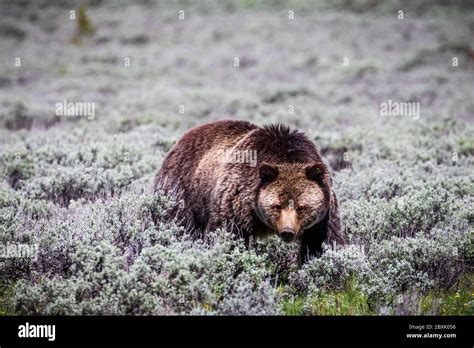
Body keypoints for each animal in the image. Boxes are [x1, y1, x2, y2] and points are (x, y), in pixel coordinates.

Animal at [155, 119, 344, 264]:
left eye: (301, 207)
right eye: (276, 205)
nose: (287, 232)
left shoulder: (324, 214)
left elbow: (321, 243)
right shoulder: (238, 198)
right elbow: (227, 234)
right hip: (182, 188)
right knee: (178, 221)